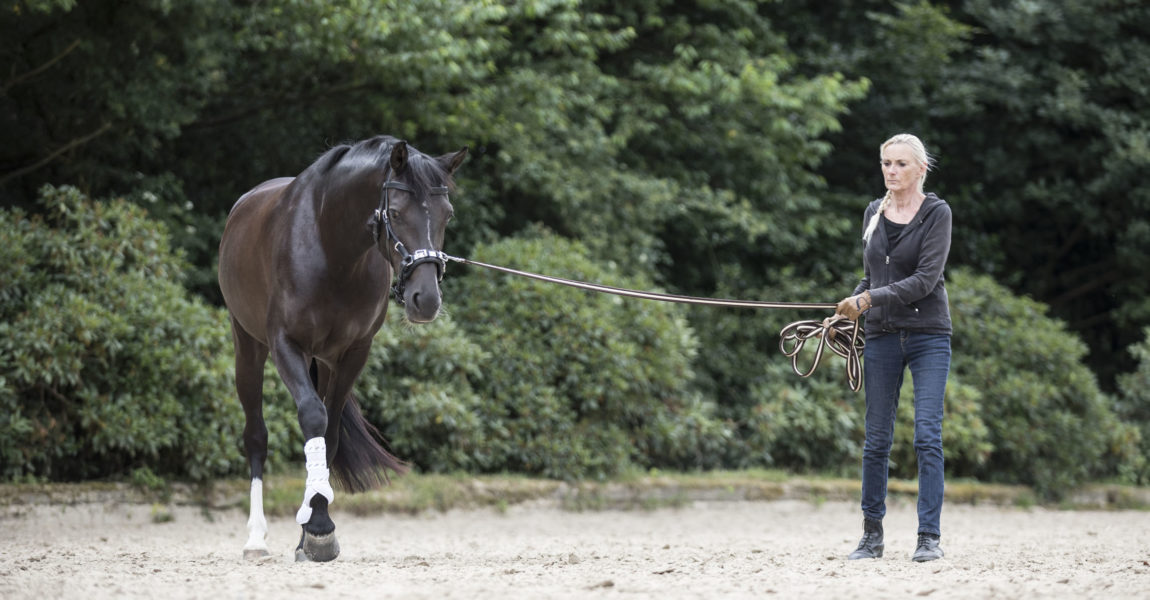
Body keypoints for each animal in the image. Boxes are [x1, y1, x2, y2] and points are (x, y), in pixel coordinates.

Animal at [216, 135, 466, 560]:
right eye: (395, 213)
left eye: (446, 214)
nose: (426, 300)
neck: (332, 249)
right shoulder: (286, 345)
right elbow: (312, 418)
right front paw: (317, 526)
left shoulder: (352, 354)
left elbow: (328, 435)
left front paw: (314, 530)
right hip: (247, 346)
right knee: (256, 435)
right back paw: (256, 539)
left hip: (323, 363)